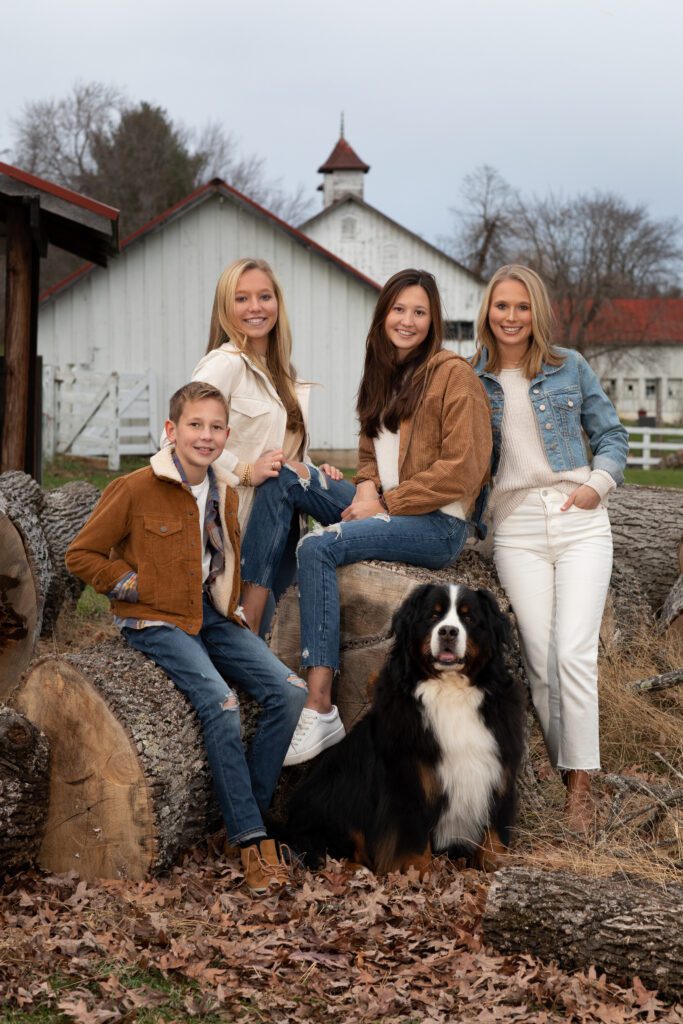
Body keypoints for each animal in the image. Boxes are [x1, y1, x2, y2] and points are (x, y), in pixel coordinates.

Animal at [278, 585, 528, 872]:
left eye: (469, 617)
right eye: (433, 615)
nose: (448, 631)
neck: (451, 691)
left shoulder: (498, 771)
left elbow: (494, 836)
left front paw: (497, 867)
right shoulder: (409, 779)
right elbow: (414, 842)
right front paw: (418, 875)